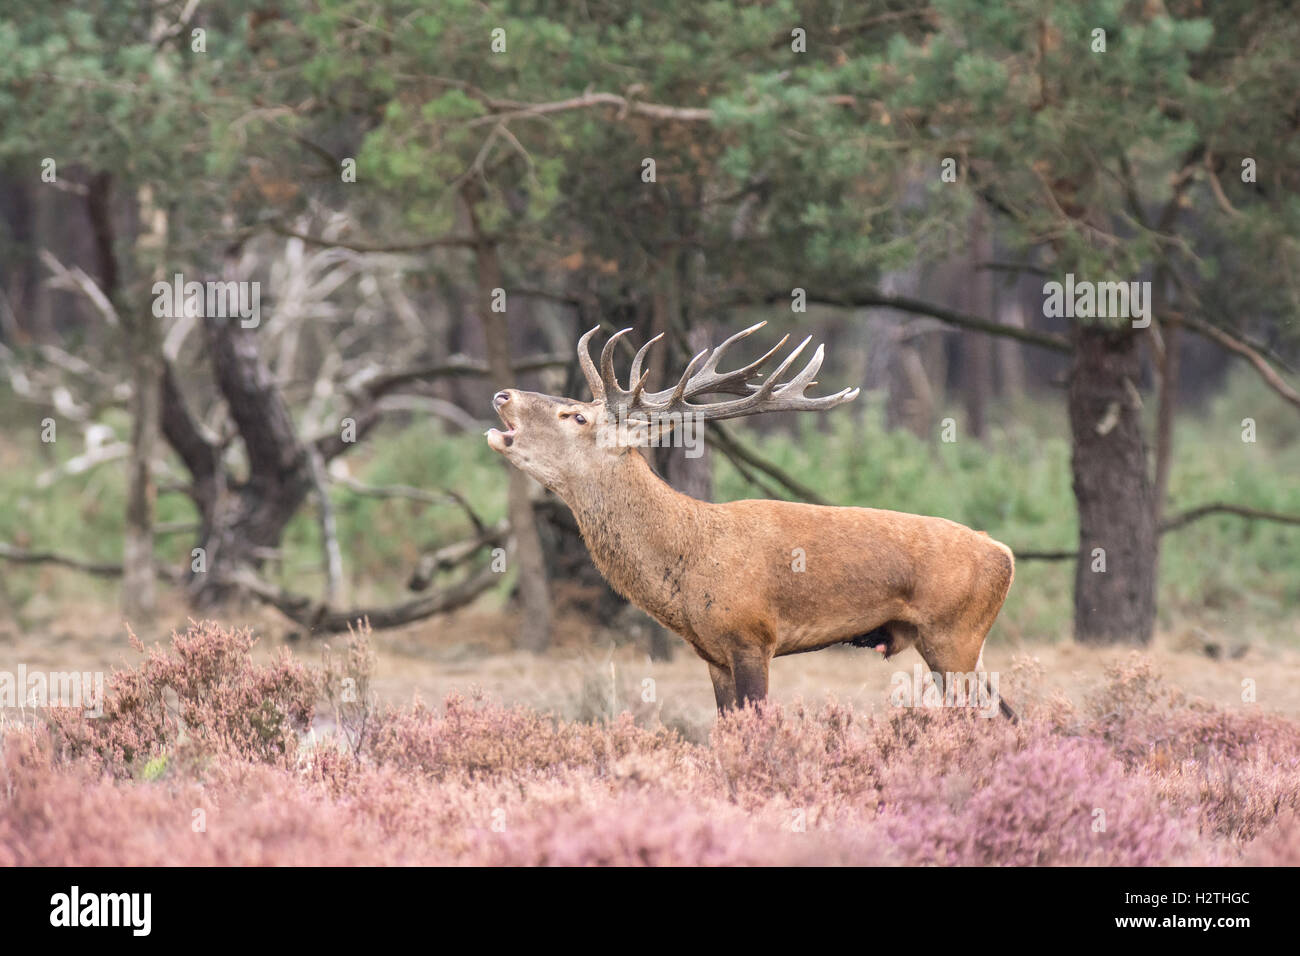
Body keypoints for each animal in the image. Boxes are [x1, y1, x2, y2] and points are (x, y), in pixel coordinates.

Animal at [485, 323, 1018, 719]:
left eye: (576, 416)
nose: (503, 394)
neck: (687, 562)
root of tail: (1004, 553)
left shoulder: (752, 636)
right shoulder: (713, 655)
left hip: (955, 635)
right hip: (958, 645)